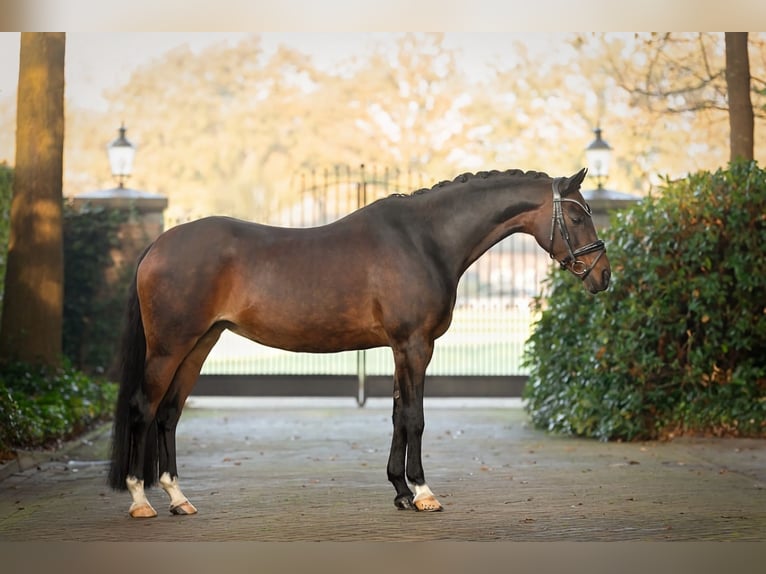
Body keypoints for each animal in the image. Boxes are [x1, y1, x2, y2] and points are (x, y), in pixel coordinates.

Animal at [108, 167, 610, 518]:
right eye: (578, 214)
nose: (603, 276)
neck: (425, 240)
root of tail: (157, 245)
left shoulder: (400, 348)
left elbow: (397, 415)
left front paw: (400, 491)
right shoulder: (415, 345)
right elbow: (415, 417)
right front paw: (423, 492)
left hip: (199, 345)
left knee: (169, 414)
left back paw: (178, 498)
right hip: (169, 348)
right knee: (143, 408)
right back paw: (140, 500)